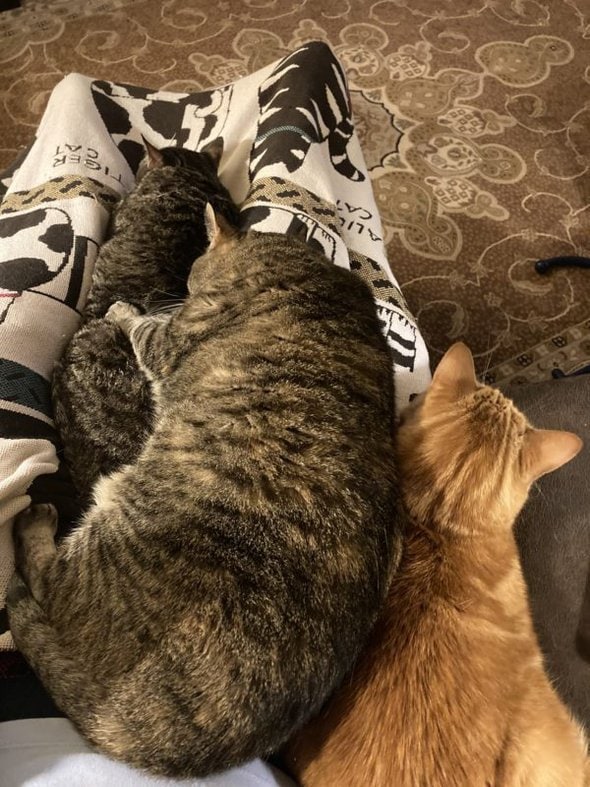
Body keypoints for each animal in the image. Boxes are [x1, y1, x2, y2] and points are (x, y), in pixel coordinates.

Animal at [7, 207, 403, 779]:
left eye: (194, 269)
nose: (184, 288)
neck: (300, 271)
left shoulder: (170, 342)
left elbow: (141, 326)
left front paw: (125, 308)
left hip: (113, 529)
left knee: (45, 578)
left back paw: (33, 523)